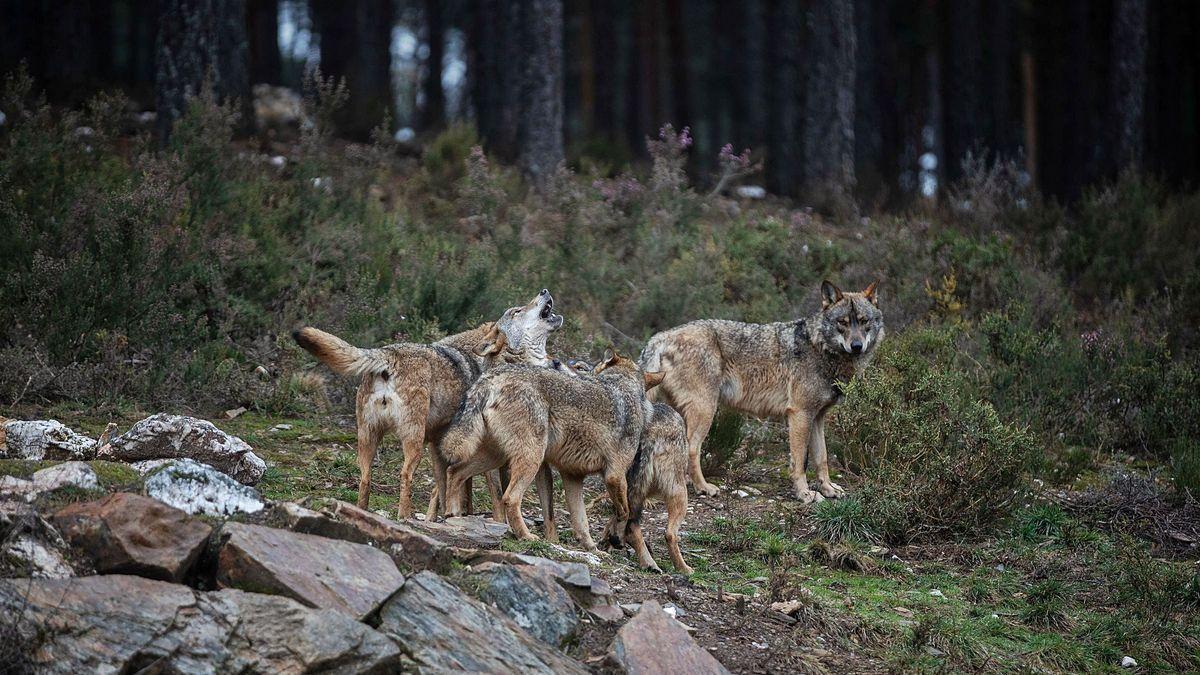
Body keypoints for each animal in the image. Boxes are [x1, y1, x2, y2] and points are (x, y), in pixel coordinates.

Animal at [293, 289, 563, 518]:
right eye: (517, 311)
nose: (544, 291)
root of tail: (389, 353)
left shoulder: (440, 445)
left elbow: (448, 488)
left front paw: (449, 515)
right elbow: (491, 495)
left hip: (368, 438)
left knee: (365, 478)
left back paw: (361, 511)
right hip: (413, 440)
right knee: (405, 473)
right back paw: (404, 516)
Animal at [438, 350, 662, 548]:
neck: (624, 387)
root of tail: (493, 376)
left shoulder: (572, 476)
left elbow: (581, 522)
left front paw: (593, 549)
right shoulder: (615, 475)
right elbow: (624, 512)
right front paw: (615, 538)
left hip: (495, 457)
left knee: (454, 471)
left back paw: (452, 516)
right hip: (530, 459)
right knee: (509, 498)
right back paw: (526, 536)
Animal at [639, 281, 883, 503]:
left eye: (864, 321)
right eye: (842, 322)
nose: (857, 346)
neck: (820, 348)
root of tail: (662, 336)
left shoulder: (817, 418)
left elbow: (821, 459)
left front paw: (829, 489)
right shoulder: (799, 414)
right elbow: (800, 462)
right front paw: (804, 494)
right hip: (705, 410)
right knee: (692, 449)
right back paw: (703, 487)